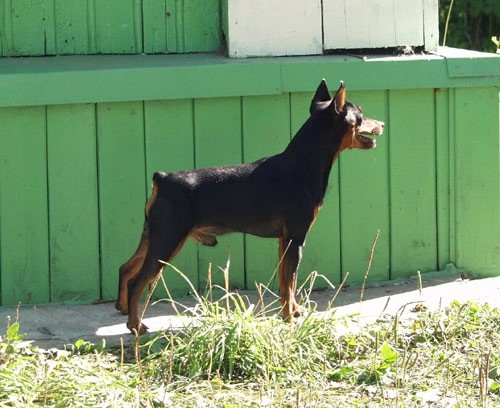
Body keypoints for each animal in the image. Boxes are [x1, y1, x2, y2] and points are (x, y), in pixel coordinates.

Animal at [115, 79, 384, 334]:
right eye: (360, 115)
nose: (381, 123)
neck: (303, 163)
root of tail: (162, 179)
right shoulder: (296, 239)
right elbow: (291, 282)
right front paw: (289, 320)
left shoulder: (284, 240)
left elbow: (286, 284)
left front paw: (293, 311)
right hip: (167, 240)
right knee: (137, 281)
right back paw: (135, 325)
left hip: (152, 236)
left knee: (125, 268)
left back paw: (124, 308)